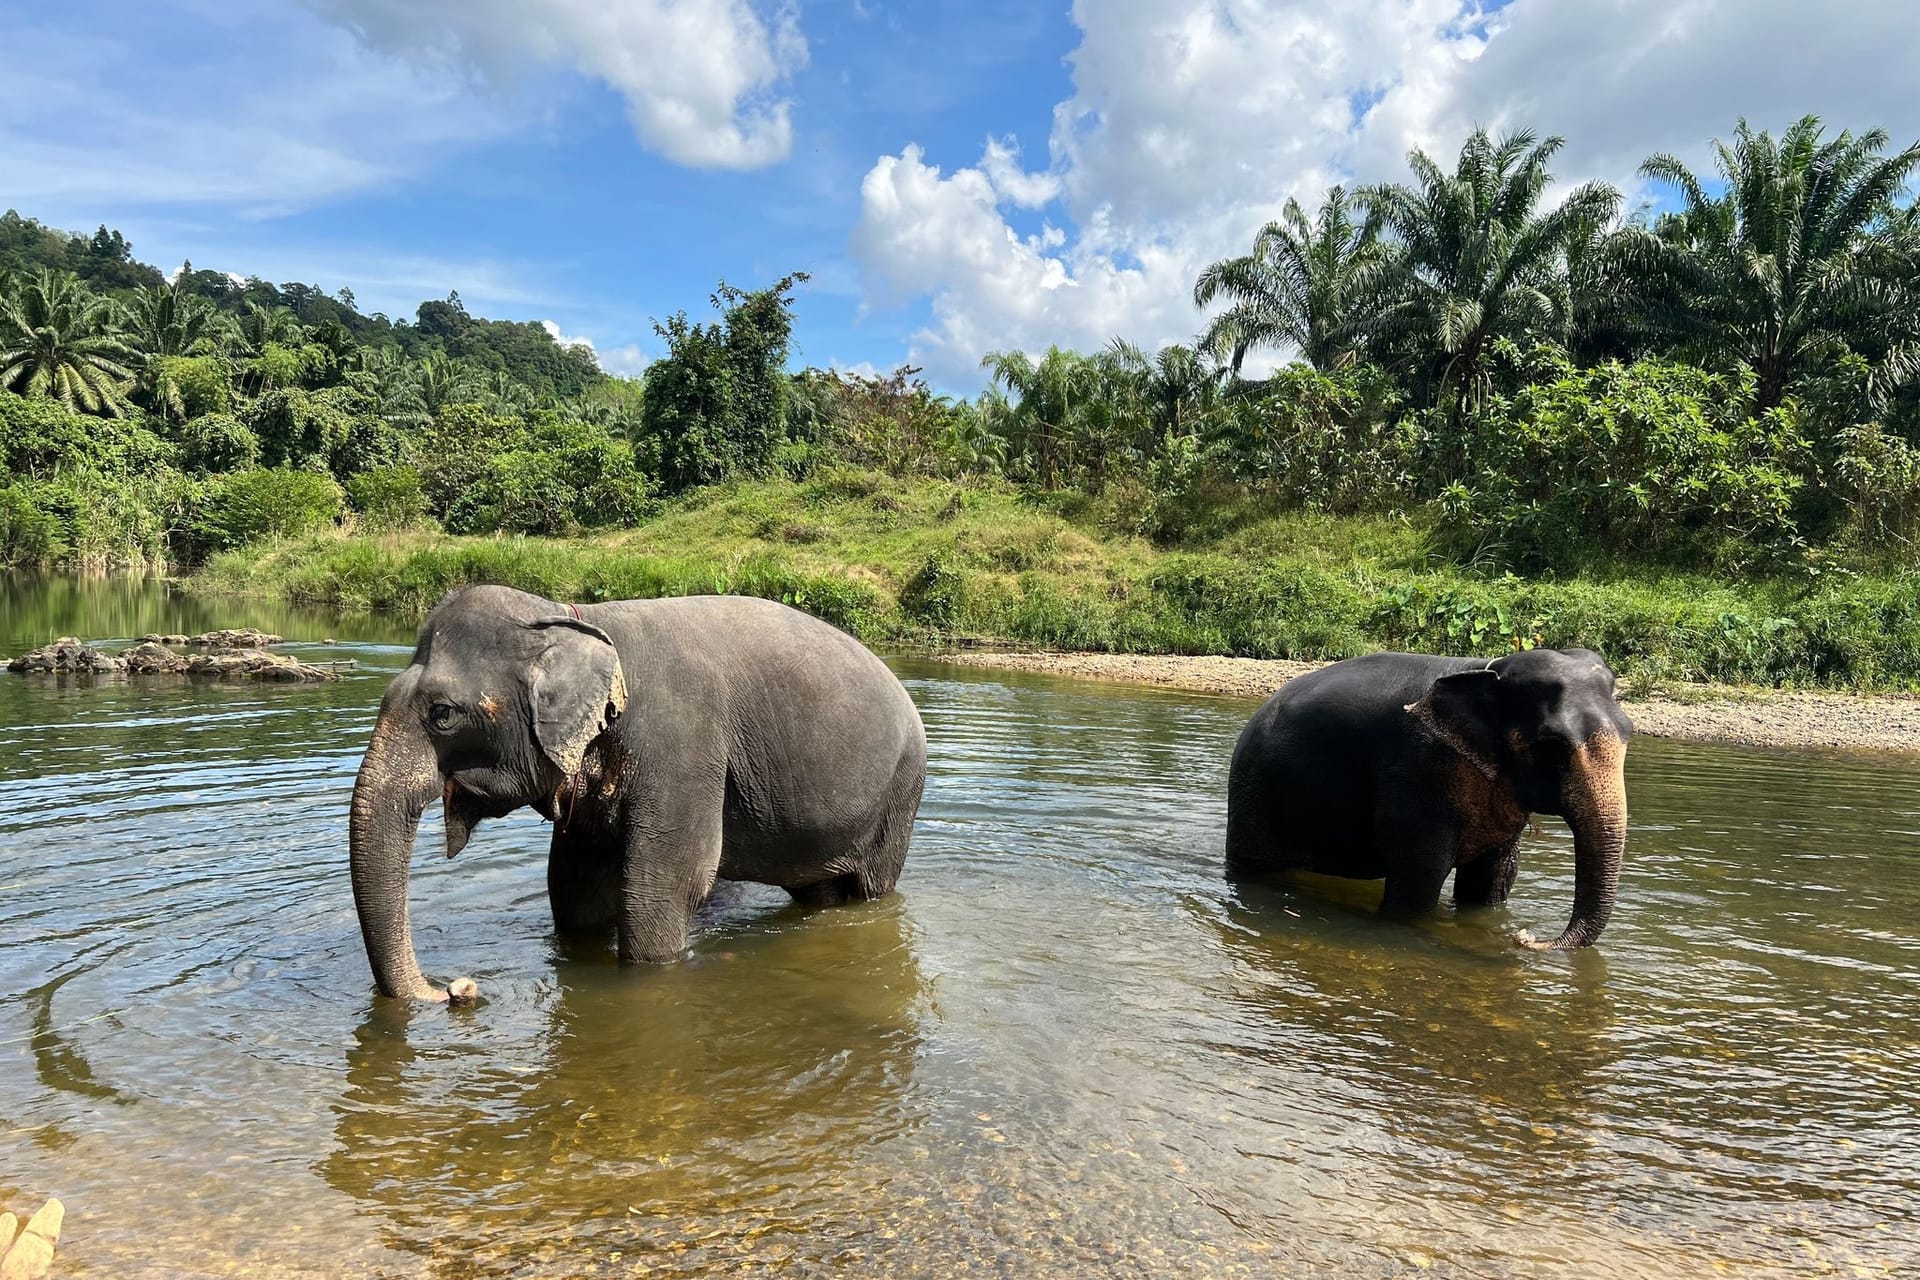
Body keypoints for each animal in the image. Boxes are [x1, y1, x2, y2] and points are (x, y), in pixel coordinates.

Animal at [349, 587, 925, 997]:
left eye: (442, 714)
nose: (455, 989)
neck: (573, 619)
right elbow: (573, 887)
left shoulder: (682, 749)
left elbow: (664, 888)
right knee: (818, 893)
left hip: (898, 797)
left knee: (870, 889)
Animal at [1228, 652, 1635, 951]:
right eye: (1550, 747)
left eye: (1630, 731)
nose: (1524, 938)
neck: (1487, 668)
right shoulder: (1416, 770)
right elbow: (1422, 873)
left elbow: (1494, 877)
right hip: (1255, 794)